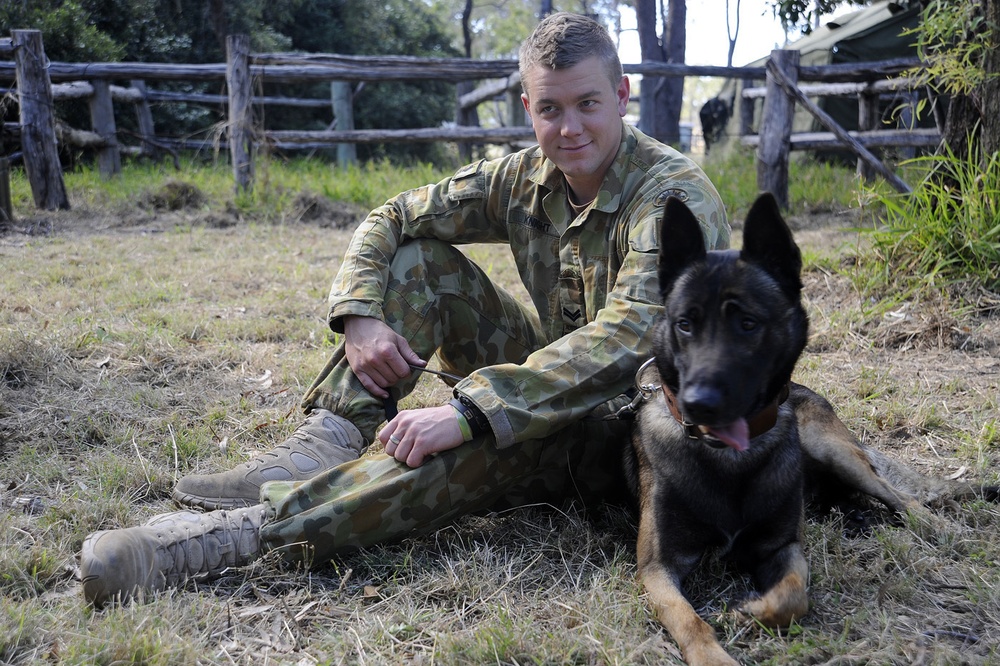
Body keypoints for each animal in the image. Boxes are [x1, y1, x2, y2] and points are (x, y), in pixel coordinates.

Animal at [624, 192, 1000, 664]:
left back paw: (940, 528)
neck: (730, 460)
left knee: (902, 499)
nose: (699, 403)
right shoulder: (658, 569)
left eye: (748, 323)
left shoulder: (784, 549)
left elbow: (793, 596)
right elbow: (690, 621)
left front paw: (752, 611)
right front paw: (716, 654)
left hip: (832, 449)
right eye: (685, 324)